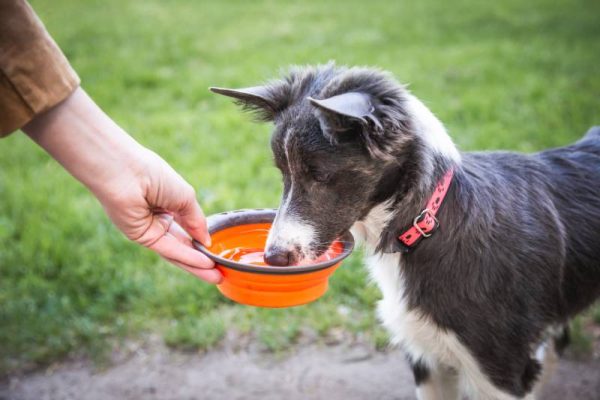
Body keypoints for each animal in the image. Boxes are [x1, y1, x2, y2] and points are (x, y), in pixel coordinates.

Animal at [210, 64, 600, 398]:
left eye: (320, 175)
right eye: (283, 173)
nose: (274, 258)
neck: (427, 224)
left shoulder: (499, 371)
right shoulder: (427, 360)